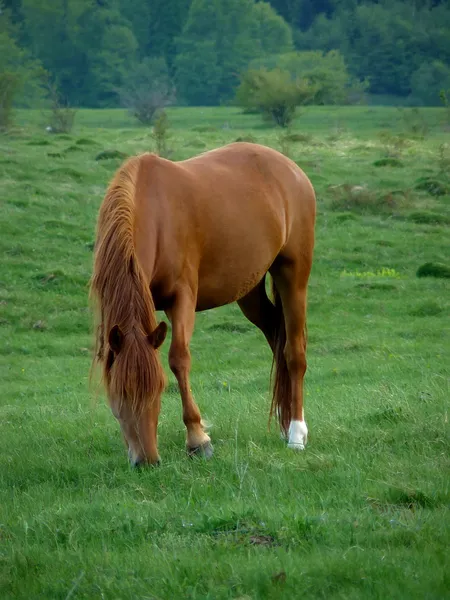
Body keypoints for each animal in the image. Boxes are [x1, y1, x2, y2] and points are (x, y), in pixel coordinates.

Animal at [90, 143, 316, 466]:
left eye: (159, 389)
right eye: (117, 393)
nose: (147, 461)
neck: (155, 212)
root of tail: (291, 169)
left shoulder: (182, 297)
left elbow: (178, 359)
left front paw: (198, 439)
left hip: (292, 274)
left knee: (294, 352)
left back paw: (296, 433)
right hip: (250, 292)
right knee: (277, 337)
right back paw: (285, 423)